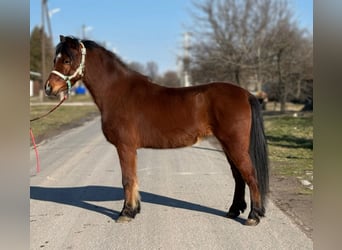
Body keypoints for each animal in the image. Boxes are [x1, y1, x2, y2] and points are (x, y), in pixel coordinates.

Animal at [44, 35, 268, 227]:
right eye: (56, 59)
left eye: (66, 60)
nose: (48, 88)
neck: (117, 93)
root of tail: (246, 94)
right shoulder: (129, 149)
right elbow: (133, 179)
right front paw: (134, 209)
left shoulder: (125, 147)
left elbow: (127, 180)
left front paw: (126, 213)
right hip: (227, 145)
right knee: (239, 177)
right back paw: (234, 210)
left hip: (235, 145)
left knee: (251, 176)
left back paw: (253, 216)